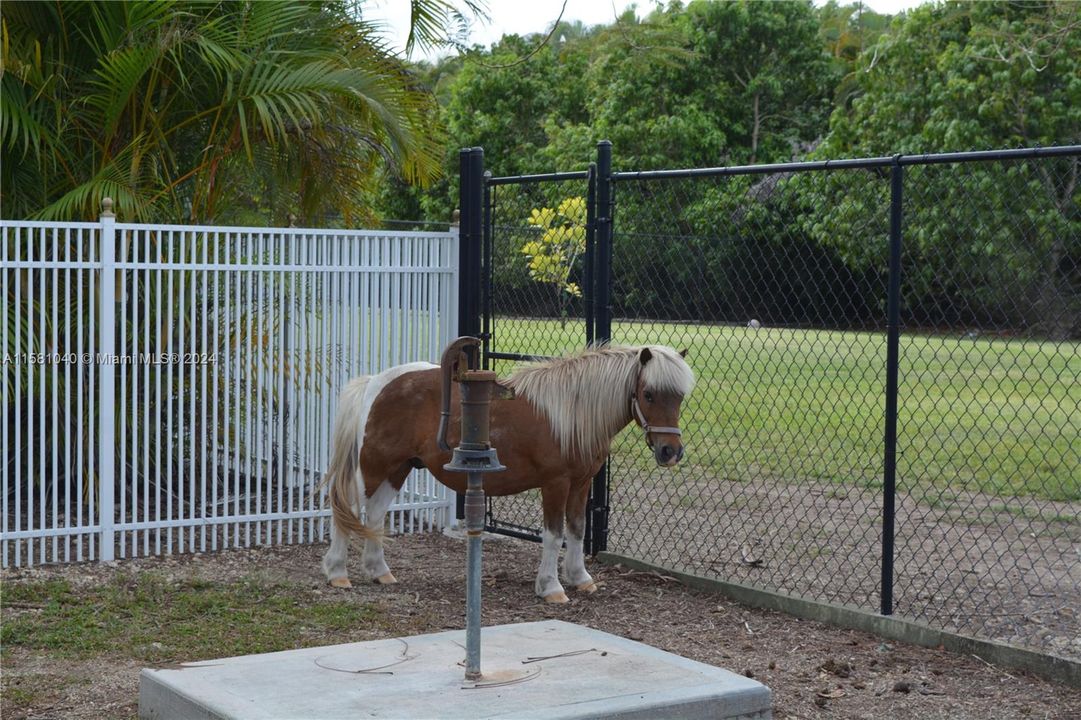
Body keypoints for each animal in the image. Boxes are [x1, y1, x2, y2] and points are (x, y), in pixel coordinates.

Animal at [319, 341, 691, 601]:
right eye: (648, 394)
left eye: (680, 398)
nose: (670, 452)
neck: (570, 413)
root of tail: (376, 382)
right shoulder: (555, 483)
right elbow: (554, 534)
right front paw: (551, 587)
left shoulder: (581, 483)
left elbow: (577, 530)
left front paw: (580, 578)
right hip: (374, 465)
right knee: (347, 510)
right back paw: (337, 573)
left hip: (398, 468)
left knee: (375, 514)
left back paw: (379, 571)